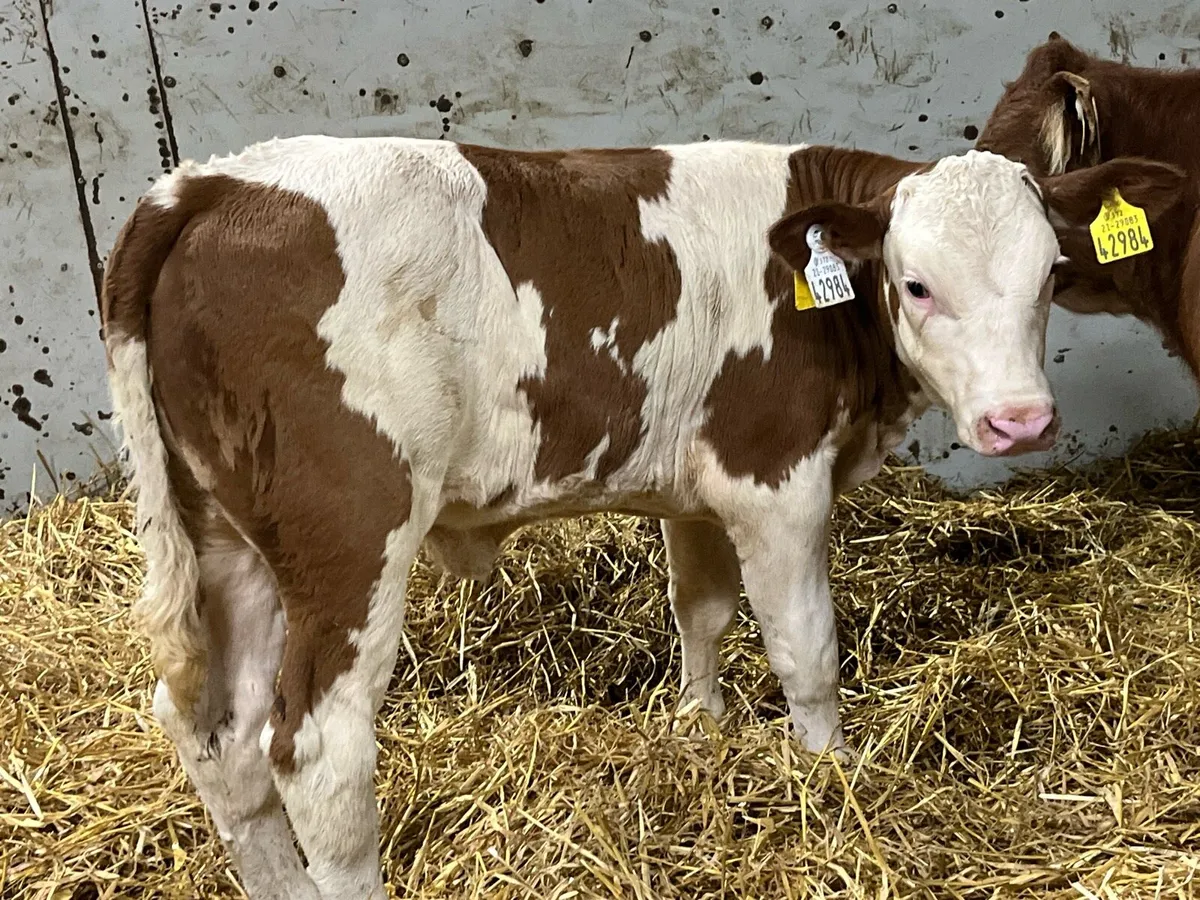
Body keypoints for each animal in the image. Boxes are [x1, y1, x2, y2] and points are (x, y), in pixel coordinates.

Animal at [99, 134, 1180, 899]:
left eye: (1050, 278)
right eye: (916, 285)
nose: (1020, 420)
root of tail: (207, 186)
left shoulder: (693, 486)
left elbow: (699, 611)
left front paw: (700, 728)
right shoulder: (773, 475)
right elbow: (806, 649)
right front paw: (829, 777)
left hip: (224, 535)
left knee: (215, 730)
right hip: (350, 537)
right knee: (314, 747)